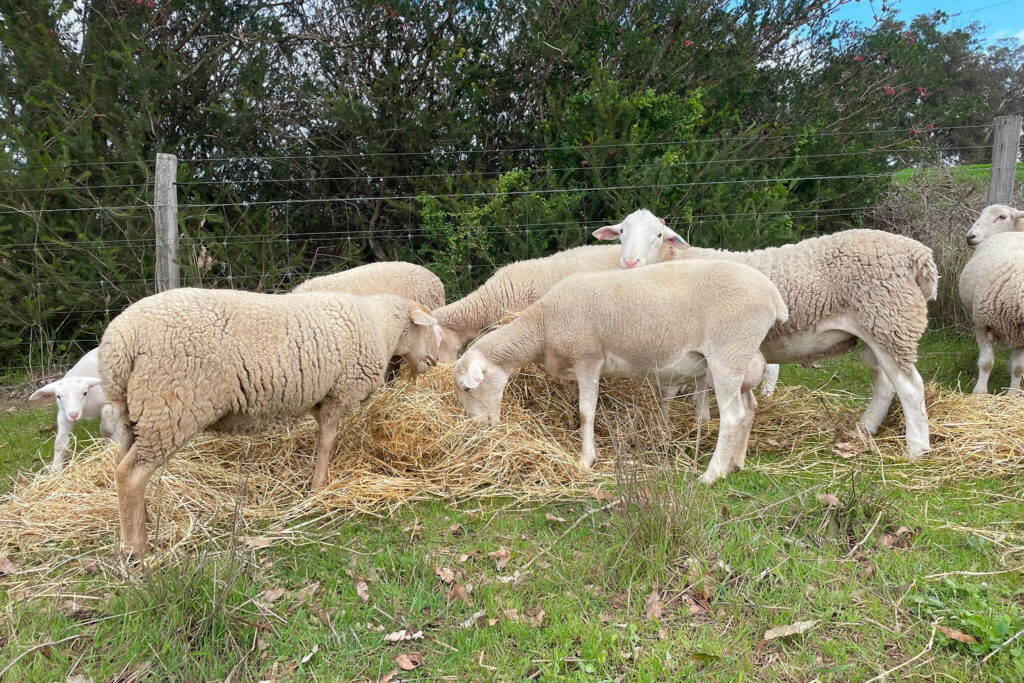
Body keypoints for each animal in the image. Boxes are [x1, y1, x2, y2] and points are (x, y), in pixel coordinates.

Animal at [96, 286, 444, 557]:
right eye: (428, 329)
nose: (434, 362)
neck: (380, 327)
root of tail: (121, 342)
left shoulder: (321, 397)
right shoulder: (337, 393)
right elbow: (327, 441)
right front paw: (318, 488)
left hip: (135, 413)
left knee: (121, 465)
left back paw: (139, 523)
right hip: (170, 406)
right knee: (130, 474)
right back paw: (136, 547)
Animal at [452, 258, 786, 485]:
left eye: (468, 388)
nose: (476, 429)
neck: (542, 327)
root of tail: (773, 296)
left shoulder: (588, 357)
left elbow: (586, 411)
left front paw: (586, 459)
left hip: (729, 351)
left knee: (732, 416)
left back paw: (712, 474)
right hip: (735, 359)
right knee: (749, 408)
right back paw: (736, 463)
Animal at [598, 211, 937, 458]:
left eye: (658, 235)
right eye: (622, 232)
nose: (629, 262)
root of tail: (918, 255)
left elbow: (686, 386)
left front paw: (694, 420)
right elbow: (698, 384)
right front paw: (701, 419)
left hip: (891, 322)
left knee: (911, 388)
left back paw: (916, 449)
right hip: (878, 329)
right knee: (885, 384)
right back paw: (865, 429)